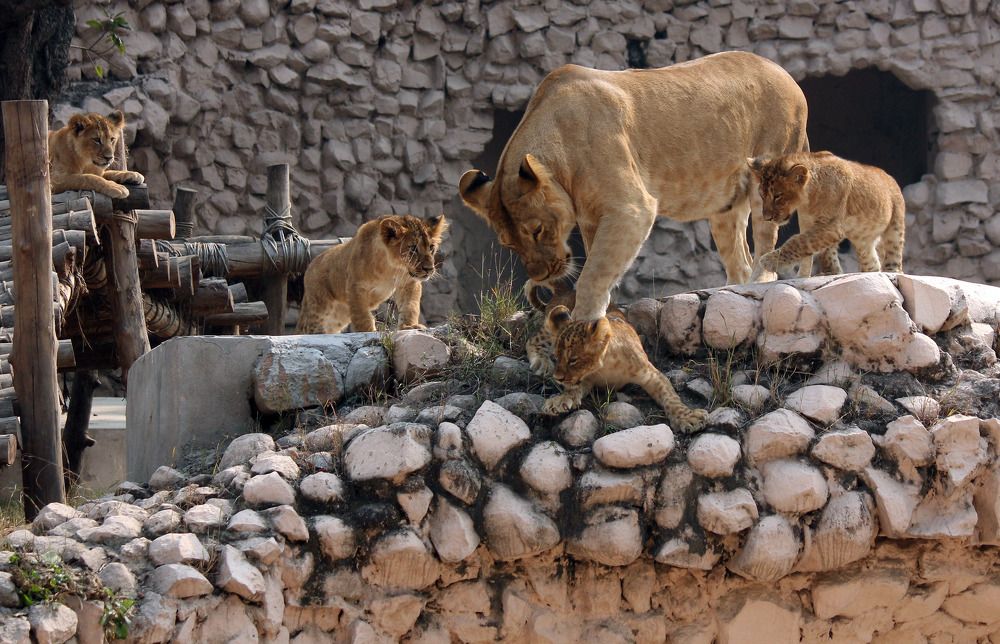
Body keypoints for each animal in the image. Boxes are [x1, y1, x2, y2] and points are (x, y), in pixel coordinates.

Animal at [296, 214, 447, 334]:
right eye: (413, 248)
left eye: (431, 247)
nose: (429, 269)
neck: (391, 268)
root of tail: (310, 265)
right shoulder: (356, 287)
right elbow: (362, 314)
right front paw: (368, 331)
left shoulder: (409, 283)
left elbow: (410, 306)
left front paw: (409, 326)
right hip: (319, 308)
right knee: (309, 328)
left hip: (338, 316)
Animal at [459, 51, 809, 321]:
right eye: (508, 244)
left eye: (537, 230)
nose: (541, 276)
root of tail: (785, 72)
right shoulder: (593, 217)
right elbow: (601, 264)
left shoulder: (631, 208)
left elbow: (593, 273)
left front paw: (584, 320)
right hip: (724, 207)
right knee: (738, 258)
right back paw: (731, 289)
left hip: (769, 175)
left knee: (765, 243)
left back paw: (760, 280)